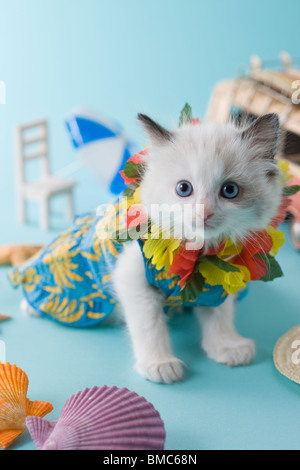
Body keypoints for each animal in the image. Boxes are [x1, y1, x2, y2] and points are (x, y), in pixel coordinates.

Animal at [111, 112, 282, 384]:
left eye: (230, 190)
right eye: (184, 188)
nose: (204, 213)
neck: (198, 254)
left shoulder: (218, 279)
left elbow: (220, 316)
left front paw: (227, 346)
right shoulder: (132, 277)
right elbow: (149, 325)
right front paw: (160, 364)